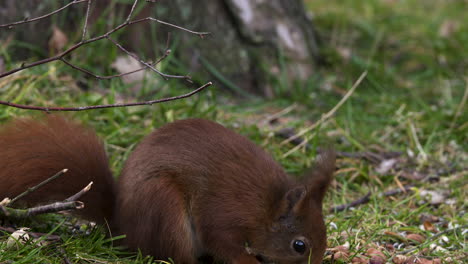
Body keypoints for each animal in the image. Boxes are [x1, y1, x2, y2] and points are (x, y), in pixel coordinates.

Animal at [0, 115, 336, 264]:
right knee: (177, 256)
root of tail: (121, 228)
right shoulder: (224, 211)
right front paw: (249, 262)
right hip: (164, 207)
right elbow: (220, 241)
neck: (265, 207)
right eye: (299, 246)